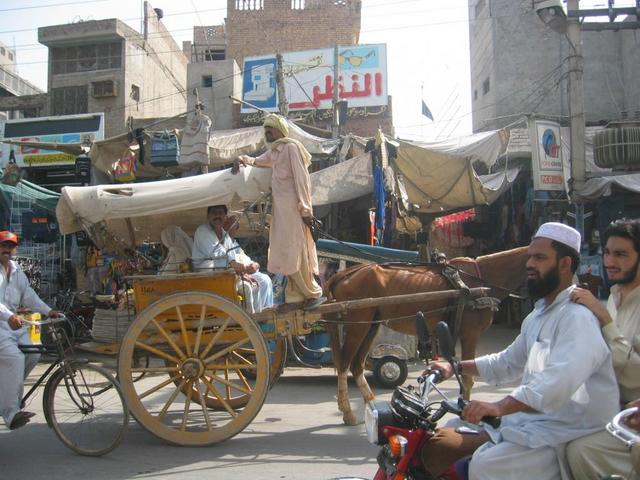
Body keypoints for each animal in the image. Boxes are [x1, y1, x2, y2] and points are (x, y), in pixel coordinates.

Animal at [322, 248, 528, 424]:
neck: (483, 279)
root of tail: (345, 273)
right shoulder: (470, 334)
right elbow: (468, 379)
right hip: (357, 325)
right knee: (345, 364)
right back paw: (348, 412)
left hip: (371, 324)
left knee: (357, 365)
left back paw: (372, 406)